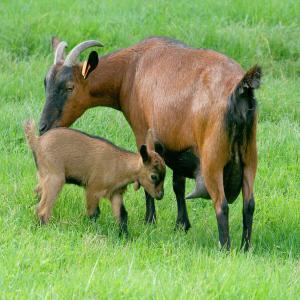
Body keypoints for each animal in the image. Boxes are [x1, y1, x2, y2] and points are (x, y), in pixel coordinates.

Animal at [23, 120, 165, 234]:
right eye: (153, 176)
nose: (160, 195)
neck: (120, 165)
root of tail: (37, 142)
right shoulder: (93, 189)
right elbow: (94, 214)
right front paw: (94, 230)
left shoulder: (116, 194)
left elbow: (122, 215)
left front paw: (125, 236)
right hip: (55, 178)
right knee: (42, 208)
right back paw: (44, 229)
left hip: (44, 176)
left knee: (38, 194)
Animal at [39, 36, 260, 250]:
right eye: (46, 83)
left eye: (70, 87)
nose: (43, 127)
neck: (131, 69)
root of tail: (240, 90)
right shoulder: (177, 145)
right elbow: (178, 185)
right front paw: (181, 225)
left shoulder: (142, 131)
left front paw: (150, 221)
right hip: (250, 157)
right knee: (249, 204)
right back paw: (245, 247)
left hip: (213, 161)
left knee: (221, 204)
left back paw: (225, 248)